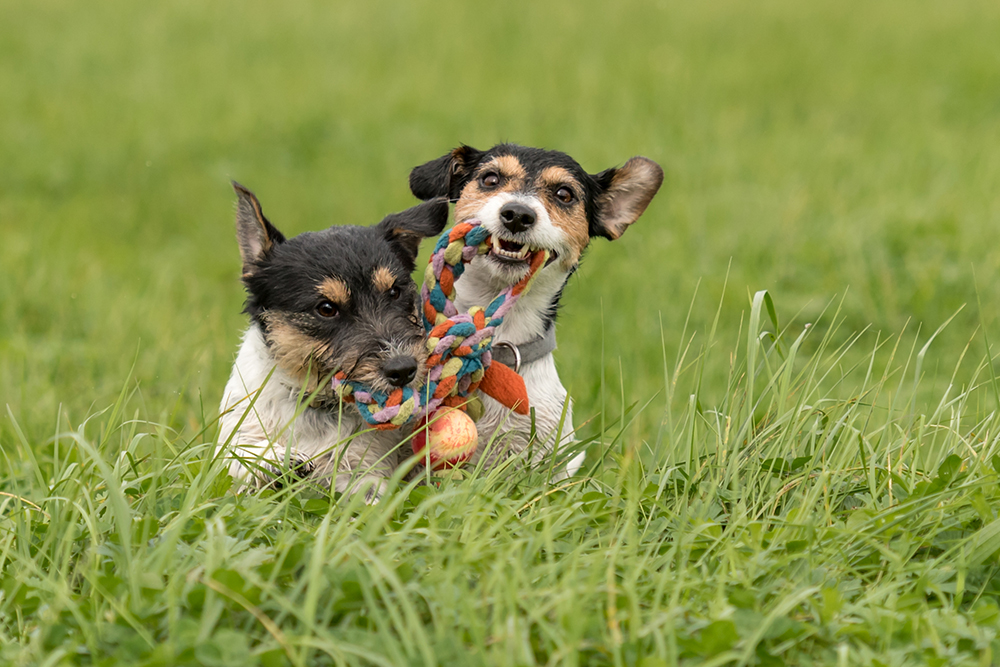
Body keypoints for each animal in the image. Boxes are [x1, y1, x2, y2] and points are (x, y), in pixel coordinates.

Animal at [222, 183, 450, 500]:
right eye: (327, 308)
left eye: (395, 292)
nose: (404, 369)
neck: (316, 402)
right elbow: (239, 456)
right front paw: (277, 458)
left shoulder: (363, 471)